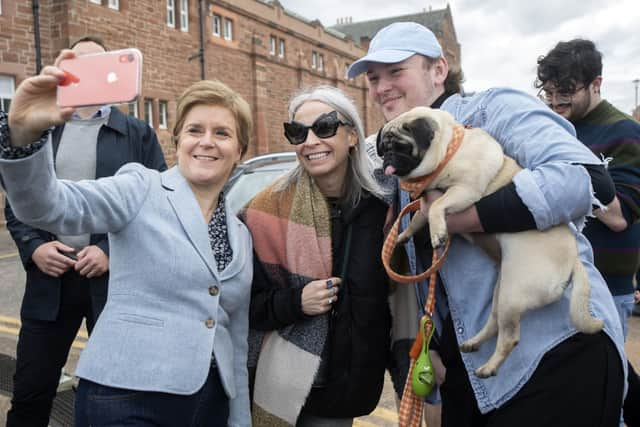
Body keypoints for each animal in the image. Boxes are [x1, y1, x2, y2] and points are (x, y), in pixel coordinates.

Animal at [378, 107, 604, 378]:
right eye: (384, 147)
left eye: (401, 146)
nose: (387, 157)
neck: (448, 150)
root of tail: (572, 261)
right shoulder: (428, 202)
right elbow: (419, 218)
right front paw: (403, 235)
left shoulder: (464, 191)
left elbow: (437, 208)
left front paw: (438, 234)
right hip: (502, 289)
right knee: (494, 323)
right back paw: (474, 343)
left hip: (512, 293)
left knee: (509, 338)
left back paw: (489, 368)